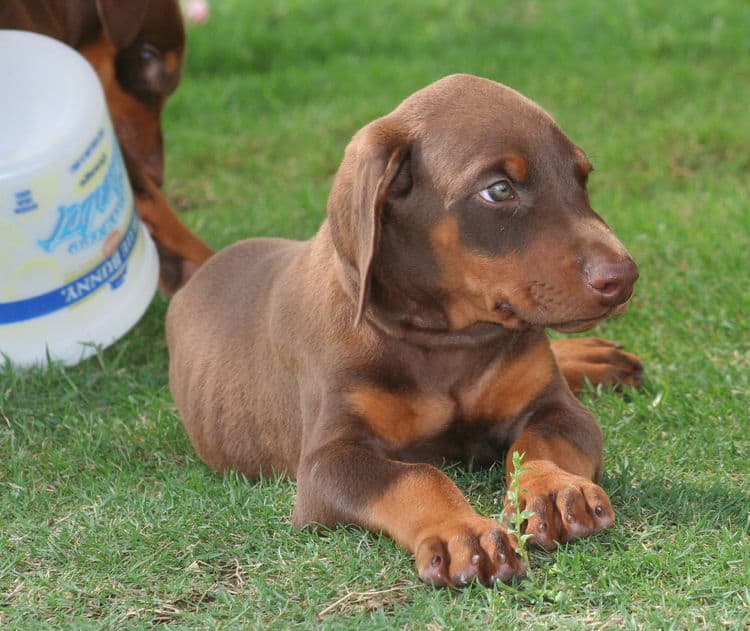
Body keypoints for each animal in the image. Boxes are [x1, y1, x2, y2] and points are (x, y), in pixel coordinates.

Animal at [167, 76, 644, 592]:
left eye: (582, 176)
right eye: (499, 190)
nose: (623, 277)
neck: (446, 343)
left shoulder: (557, 407)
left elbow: (541, 440)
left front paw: (554, 488)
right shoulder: (328, 460)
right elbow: (417, 475)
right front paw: (464, 531)